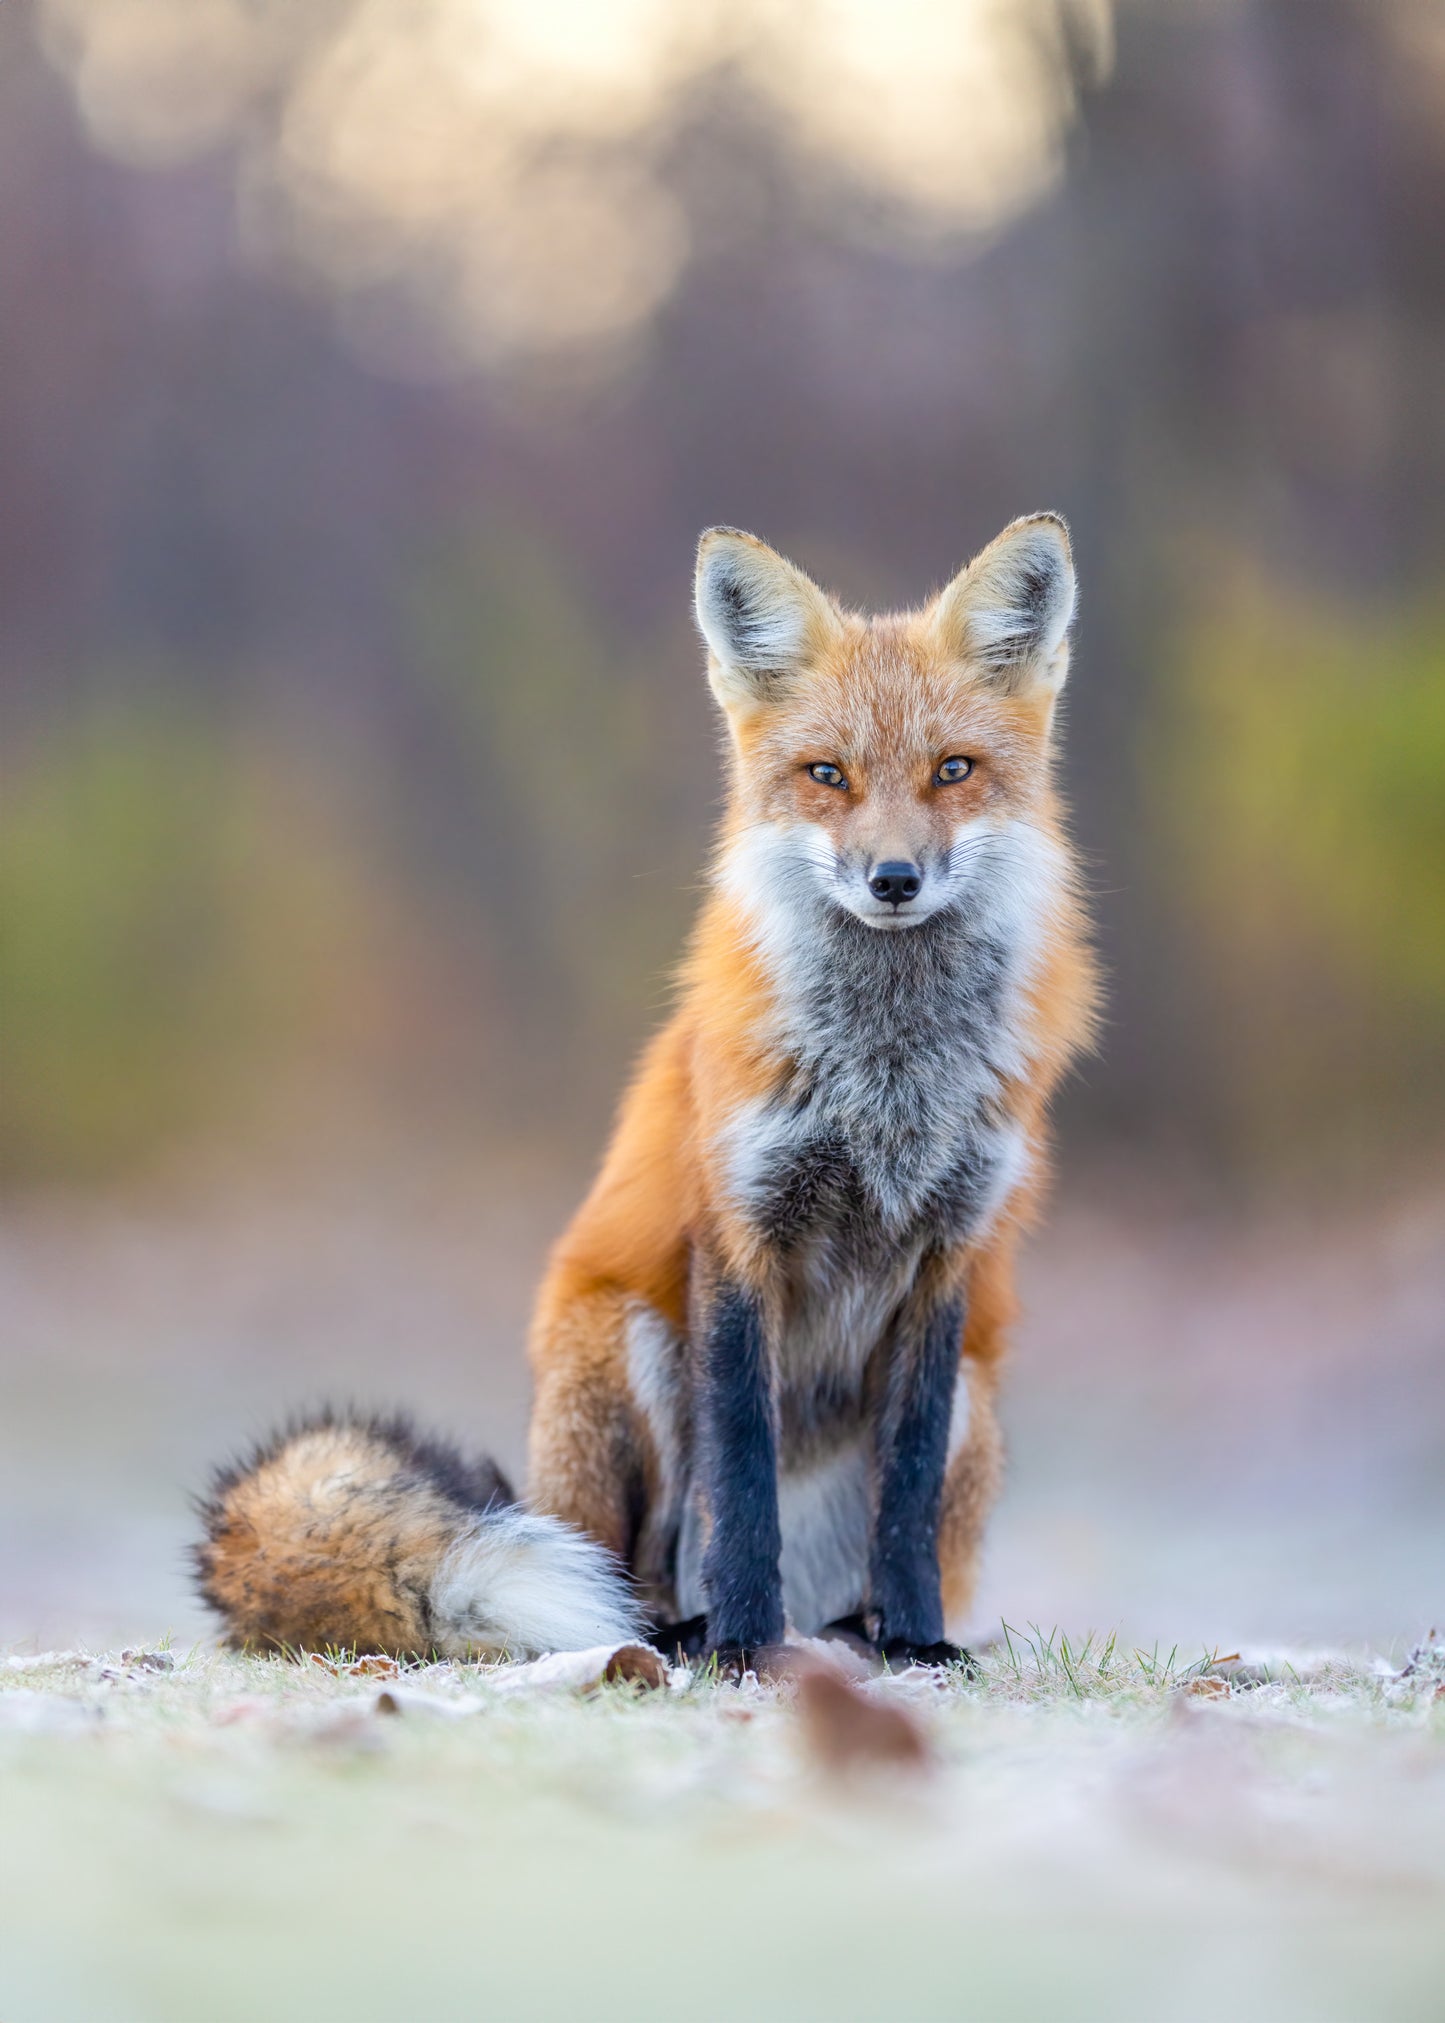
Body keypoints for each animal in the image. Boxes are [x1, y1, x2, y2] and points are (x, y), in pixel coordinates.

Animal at [197, 513, 1097, 1668]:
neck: (884, 1080)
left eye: (952, 770)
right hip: (626, 1348)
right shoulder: (737, 1235)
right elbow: (738, 1481)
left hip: (976, 1405)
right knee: (641, 1563)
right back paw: (683, 1631)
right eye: (827, 773)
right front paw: (743, 1642)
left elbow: (901, 1491)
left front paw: (913, 1642)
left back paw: (848, 1631)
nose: (892, 879)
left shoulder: (949, 1255)